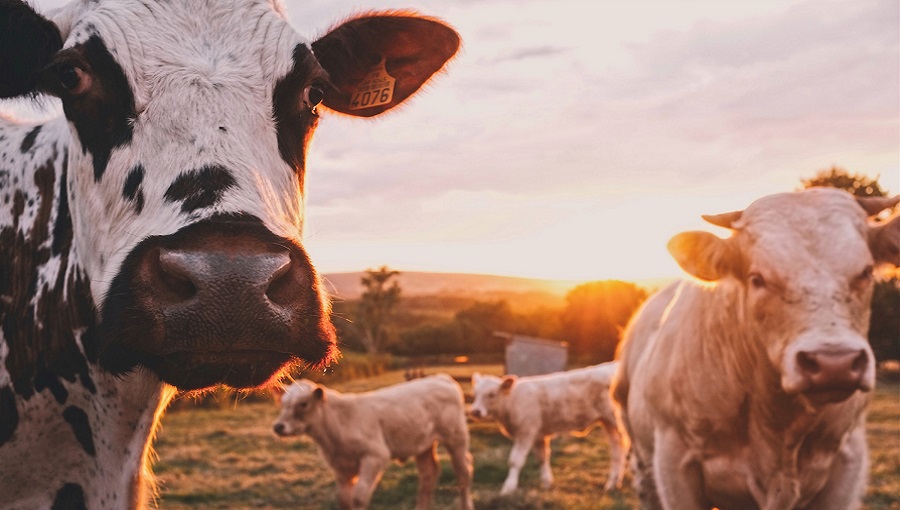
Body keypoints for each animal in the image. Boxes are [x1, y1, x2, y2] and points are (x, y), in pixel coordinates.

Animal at [270, 374, 474, 510]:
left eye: (303, 404)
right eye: (283, 403)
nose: (278, 426)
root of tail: (441, 378)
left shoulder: (375, 456)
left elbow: (359, 498)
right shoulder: (341, 466)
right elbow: (344, 500)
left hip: (456, 437)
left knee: (463, 472)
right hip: (422, 444)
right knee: (428, 474)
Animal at [472, 364, 624, 496]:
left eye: (492, 394)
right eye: (475, 394)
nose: (475, 411)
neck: (512, 401)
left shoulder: (526, 432)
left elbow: (515, 460)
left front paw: (508, 487)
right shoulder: (539, 435)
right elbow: (542, 458)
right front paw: (546, 483)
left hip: (617, 420)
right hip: (608, 423)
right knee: (617, 449)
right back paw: (613, 483)